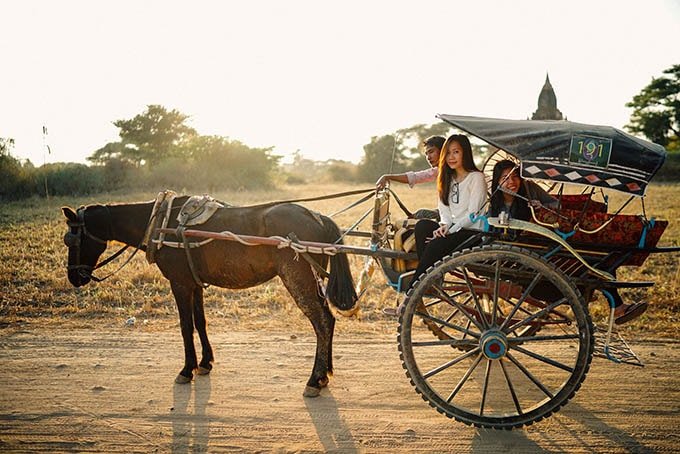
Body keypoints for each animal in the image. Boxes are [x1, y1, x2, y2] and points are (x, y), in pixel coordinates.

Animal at [61, 195, 358, 398]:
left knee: (321, 321)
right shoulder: (193, 284)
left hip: (298, 278)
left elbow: (184, 326)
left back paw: (314, 379)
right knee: (329, 321)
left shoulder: (180, 283)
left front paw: (186, 369)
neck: (161, 223)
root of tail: (318, 216)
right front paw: (205, 363)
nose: (75, 277)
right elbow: (200, 322)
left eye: (70, 239)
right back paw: (325, 373)